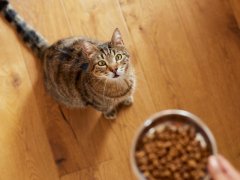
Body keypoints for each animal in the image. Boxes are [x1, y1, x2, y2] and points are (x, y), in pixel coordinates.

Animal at [0, 1, 135, 121]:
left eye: (118, 57)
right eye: (101, 63)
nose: (114, 69)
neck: (121, 84)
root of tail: (47, 49)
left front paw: (127, 99)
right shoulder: (93, 102)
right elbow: (105, 108)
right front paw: (110, 113)